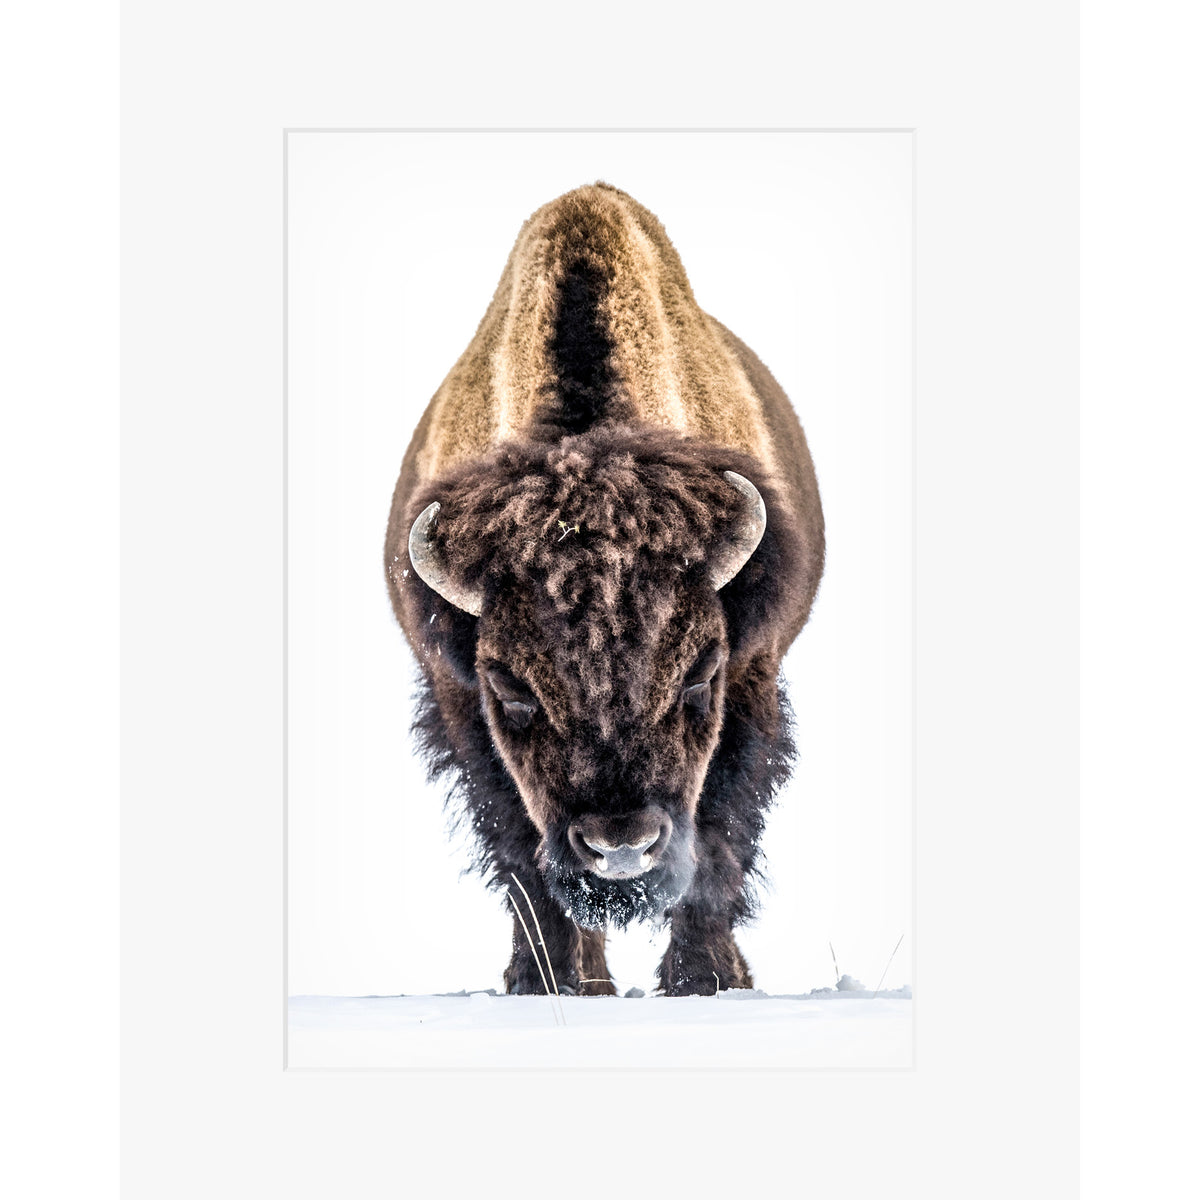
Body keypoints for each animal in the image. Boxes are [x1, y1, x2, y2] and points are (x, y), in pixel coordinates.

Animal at [384, 183, 824, 996]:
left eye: (700, 675)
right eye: (511, 688)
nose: (620, 846)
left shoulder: (753, 675)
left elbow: (718, 838)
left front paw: (703, 980)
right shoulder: (458, 702)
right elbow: (522, 856)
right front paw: (547, 983)